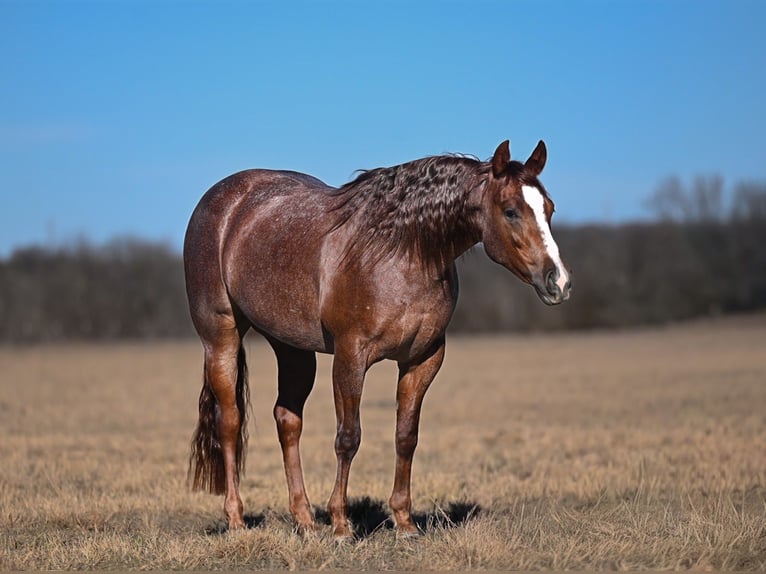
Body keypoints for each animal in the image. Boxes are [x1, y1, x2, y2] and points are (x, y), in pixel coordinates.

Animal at [183, 139, 571, 539]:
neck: (400, 253)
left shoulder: (423, 359)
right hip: (221, 338)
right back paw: (237, 519)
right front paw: (341, 524)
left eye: (550, 209)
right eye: (510, 211)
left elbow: (406, 436)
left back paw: (305, 520)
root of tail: (227, 200)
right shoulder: (351, 356)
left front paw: (404, 521)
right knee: (230, 421)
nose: (558, 281)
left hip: (293, 348)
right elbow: (348, 437)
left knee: (288, 420)